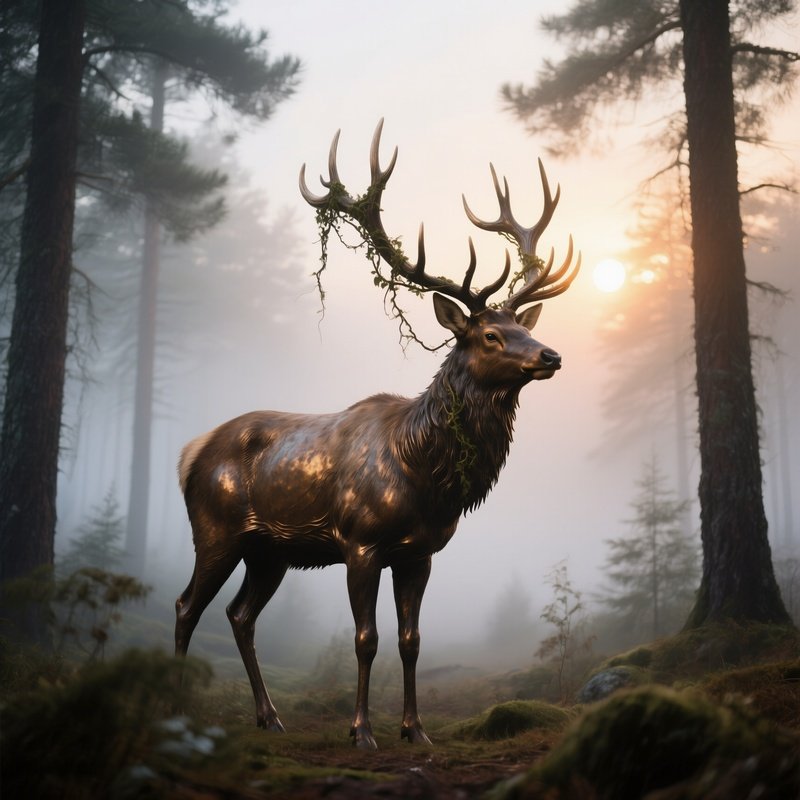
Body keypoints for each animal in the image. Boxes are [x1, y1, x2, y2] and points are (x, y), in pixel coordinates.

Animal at [174, 120, 580, 750]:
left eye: (522, 325)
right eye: (490, 335)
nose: (551, 354)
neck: (424, 474)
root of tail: (190, 454)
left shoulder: (421, 553)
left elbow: (411, 642)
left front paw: (417, 730)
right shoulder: (359, 542)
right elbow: (366, 639)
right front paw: (362, 730)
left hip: (271, 550)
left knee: (239, 615)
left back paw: (270, 717)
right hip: (216, 529)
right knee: (186, 605)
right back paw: (170, 708)